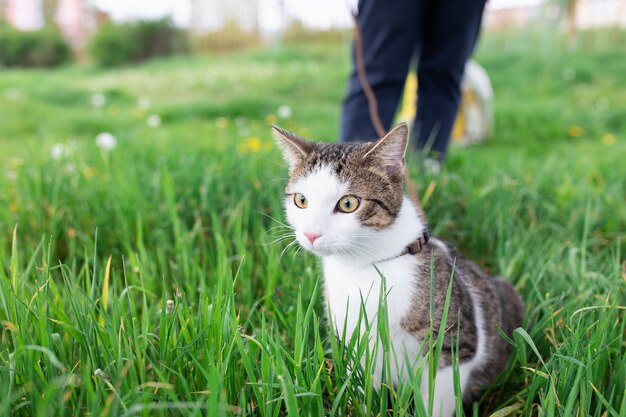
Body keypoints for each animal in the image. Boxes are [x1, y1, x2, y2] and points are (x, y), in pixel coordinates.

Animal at [272, 122, 520, 414]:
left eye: (348, 203)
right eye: (301, 200)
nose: (311, 234)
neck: (365, 266)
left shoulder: (455, 344)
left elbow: (437, 398)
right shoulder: (354, 343)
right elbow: (361, 387)